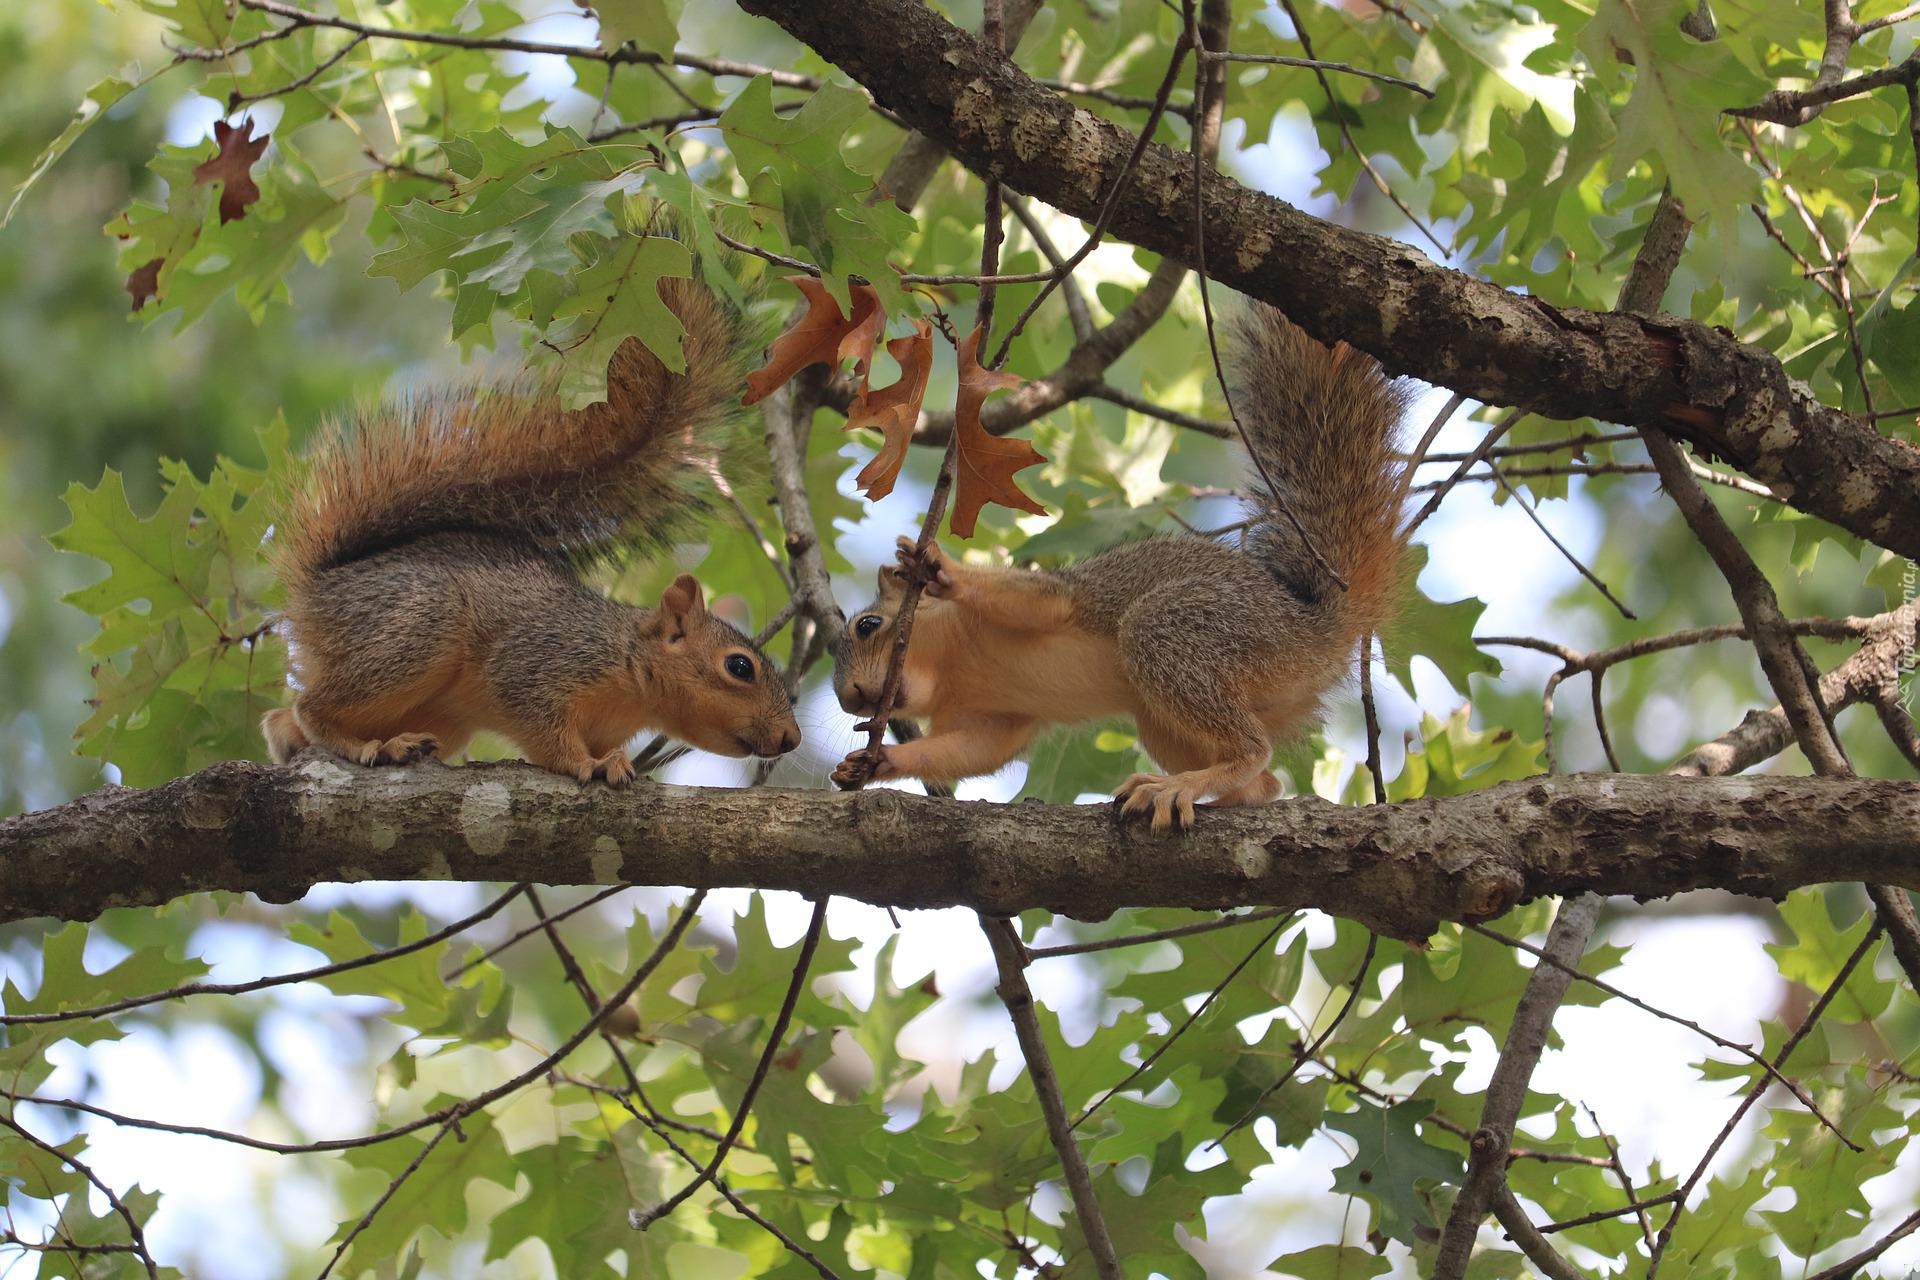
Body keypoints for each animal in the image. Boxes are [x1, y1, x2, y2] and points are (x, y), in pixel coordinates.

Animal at [259, 276, 798, 786]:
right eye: (740, 667)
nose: (791, 739)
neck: (630, 671)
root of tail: (321, 585)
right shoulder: (537, 664)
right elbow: (543, 729)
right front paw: (585, 764)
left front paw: (614, 761)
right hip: (416, 628)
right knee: (313, 708)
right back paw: (369, 746)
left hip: (438, 710)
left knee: (284, 719)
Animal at [829, 310, 1413, 832]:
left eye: (868, 625)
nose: (850, 698)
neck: (953, 665)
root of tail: (1318, 629)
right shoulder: (993, 721)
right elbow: (968, 752)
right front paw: (875, 762)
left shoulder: (1047, 604)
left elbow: (1040, 600)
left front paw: (940, 568)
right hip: (1161, 717)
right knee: (1263, 783)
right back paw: (1194, 791)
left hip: (1188, 630)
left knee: (1252, 749)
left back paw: (1180, 785)